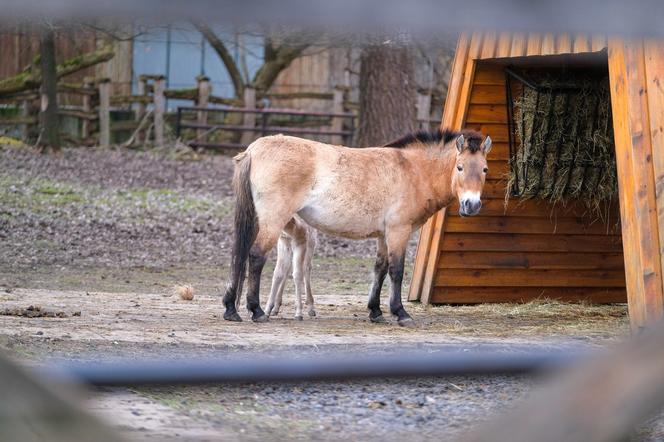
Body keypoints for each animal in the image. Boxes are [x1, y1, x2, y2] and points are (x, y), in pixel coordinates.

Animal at [226, 128, 490, 324]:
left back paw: (231, 309)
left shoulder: (384, 235)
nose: (471, 205)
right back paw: (256, 310)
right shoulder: (398, 231)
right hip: (273, 220)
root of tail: (254, 149)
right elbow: (396, 270)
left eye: (485, 169)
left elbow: (380, 269)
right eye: (460, 167)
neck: (412, 170)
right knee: (256, 256)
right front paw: (400, 313)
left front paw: (376, 311)